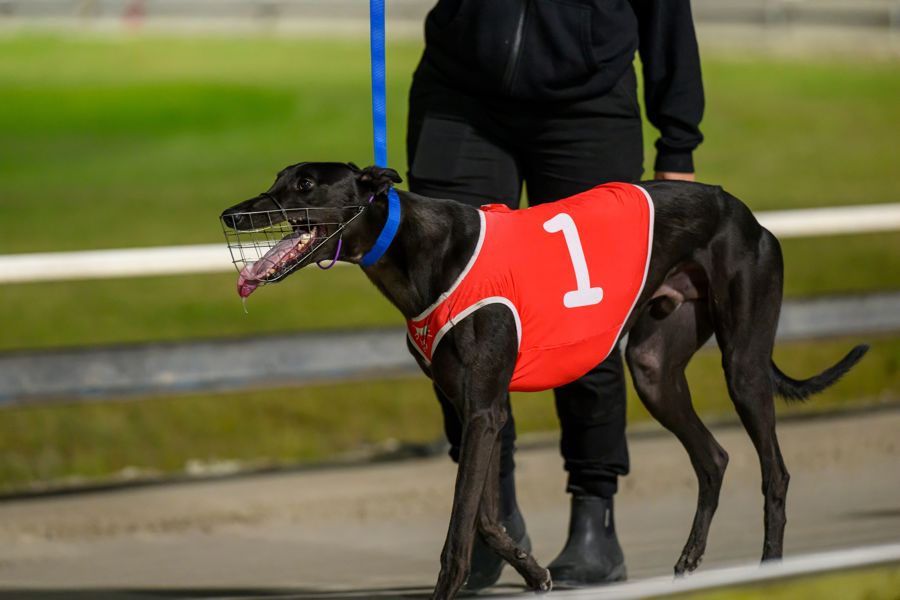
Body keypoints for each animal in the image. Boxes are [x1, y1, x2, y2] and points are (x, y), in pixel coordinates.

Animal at [220, 162, 867, 599]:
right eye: (278, 178)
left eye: (305, 185)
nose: (232, 215)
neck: (417, 247)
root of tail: (745, 213)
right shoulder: (475, 407)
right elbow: (485, 516)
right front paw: (533, 570)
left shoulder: (483, 408)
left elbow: (459, 532)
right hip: (654, 369)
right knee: (713, 457)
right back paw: (689, 562)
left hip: (744, 365)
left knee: (774, 470)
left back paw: (773, 570)